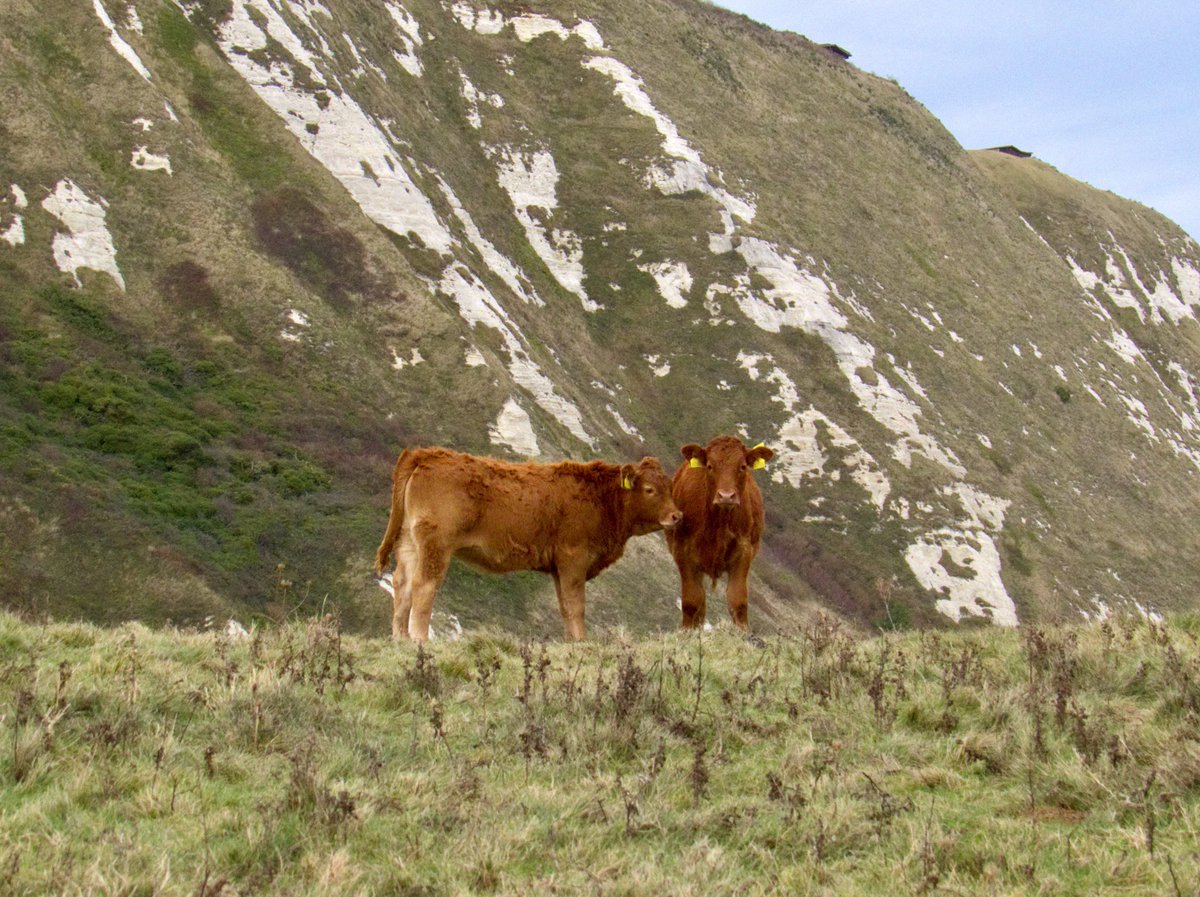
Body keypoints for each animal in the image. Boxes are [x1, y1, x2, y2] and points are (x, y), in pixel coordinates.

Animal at [373, 447, 682, 642]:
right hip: (436, 546)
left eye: (670, 487)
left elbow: (565, 607)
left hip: (409, 543)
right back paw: (419, 640)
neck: (602, 499)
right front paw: (582, 642)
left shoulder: (558, 567)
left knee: (402, 584)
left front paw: (571, 641)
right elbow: (577, 605)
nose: (677, 515)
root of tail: (425, 453)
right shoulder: (574, 559)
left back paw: (400, 639)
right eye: (650, 490)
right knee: (424, 586)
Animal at [665, 436, 774, 630]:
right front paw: (687, 633)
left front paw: (742, 633)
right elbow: (692, 601)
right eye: (710, 466)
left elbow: (738, 600)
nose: (726, 496)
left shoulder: (744, 552)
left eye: (742, 466)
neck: (719, 524)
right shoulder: (682, 553)